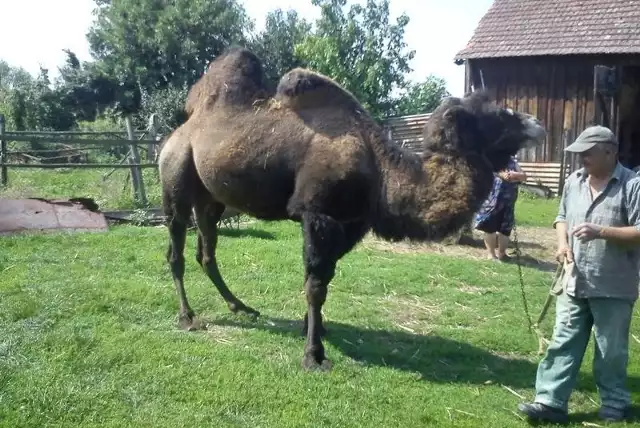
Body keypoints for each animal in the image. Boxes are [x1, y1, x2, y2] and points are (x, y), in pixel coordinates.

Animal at [159, 46, 544, 372]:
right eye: (496, 116)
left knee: (206, 250)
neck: (380, 170)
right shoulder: (318, 214)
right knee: (176, 247)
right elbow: (315, 284)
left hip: (212, 200)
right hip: (175, 177)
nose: (536, 124)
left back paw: (240, 306)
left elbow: (324, 279)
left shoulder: (353, 223)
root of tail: (178, 133)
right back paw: (187, 317)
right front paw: (313, 356)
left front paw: (315, 329)